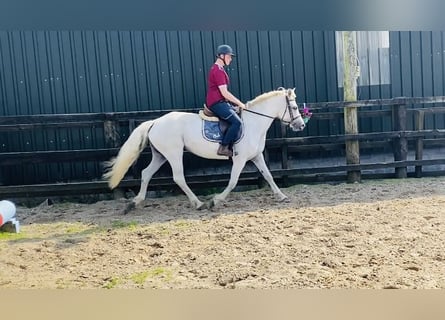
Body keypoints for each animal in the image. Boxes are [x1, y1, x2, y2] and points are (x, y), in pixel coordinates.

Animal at [103, 89, 306, 211]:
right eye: (294, 107)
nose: (301, 125)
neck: (254, 122)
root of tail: (155, 122)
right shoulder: (240, 159)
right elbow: (233, 181)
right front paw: (215, 201)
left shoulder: (256, 156)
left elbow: (269, 176)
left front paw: (282, 196)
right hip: (174, 153)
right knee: (178, 177)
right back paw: (198, 203)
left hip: (160, 155)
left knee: (146, 173)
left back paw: (135, 202)